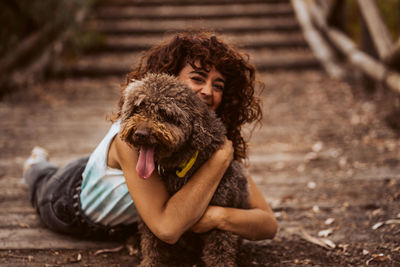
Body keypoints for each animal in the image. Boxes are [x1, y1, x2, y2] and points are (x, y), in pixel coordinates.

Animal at [120, 74, 248, 267]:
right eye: (138, 108)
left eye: (165, 113)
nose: (140, 134)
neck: (180, 166)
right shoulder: (155, 222)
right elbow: (153, 244)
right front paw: (151, 262)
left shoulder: (221, 213)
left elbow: (219, 251)